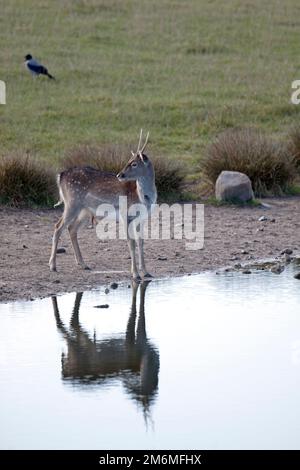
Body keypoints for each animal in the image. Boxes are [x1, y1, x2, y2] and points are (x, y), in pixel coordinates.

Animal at [49, 129, 157, 280]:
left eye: (134, 164)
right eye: (128, 161)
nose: (119, 175)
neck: (142, 197)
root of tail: (61, 175)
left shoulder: (142, 217)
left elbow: (141, 242)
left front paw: (146, 272)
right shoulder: (125, 214)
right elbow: (131, 243)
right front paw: (135, 274)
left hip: (85, 210)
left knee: (71, 228)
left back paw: (83, 264)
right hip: (72, 203)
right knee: (58, 226)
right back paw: (53, 266)